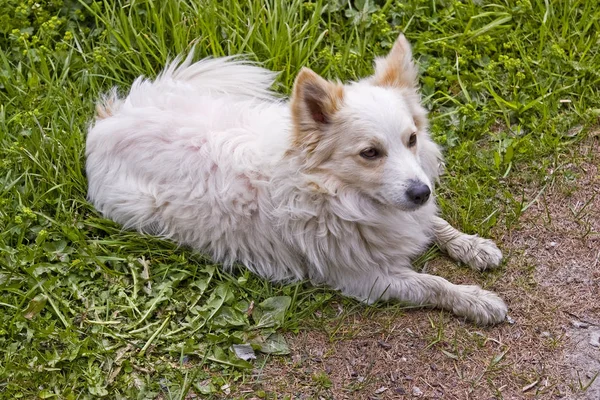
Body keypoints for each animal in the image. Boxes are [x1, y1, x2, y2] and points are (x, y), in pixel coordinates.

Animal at [84, 33, 506, 322]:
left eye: (412, 139)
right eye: (370, 153)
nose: (422, 192)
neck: (333, 192)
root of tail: (113, 115)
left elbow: (436, 224)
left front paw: (471, 246)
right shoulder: (369, 278)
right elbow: (432, 284)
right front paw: (475, 300)